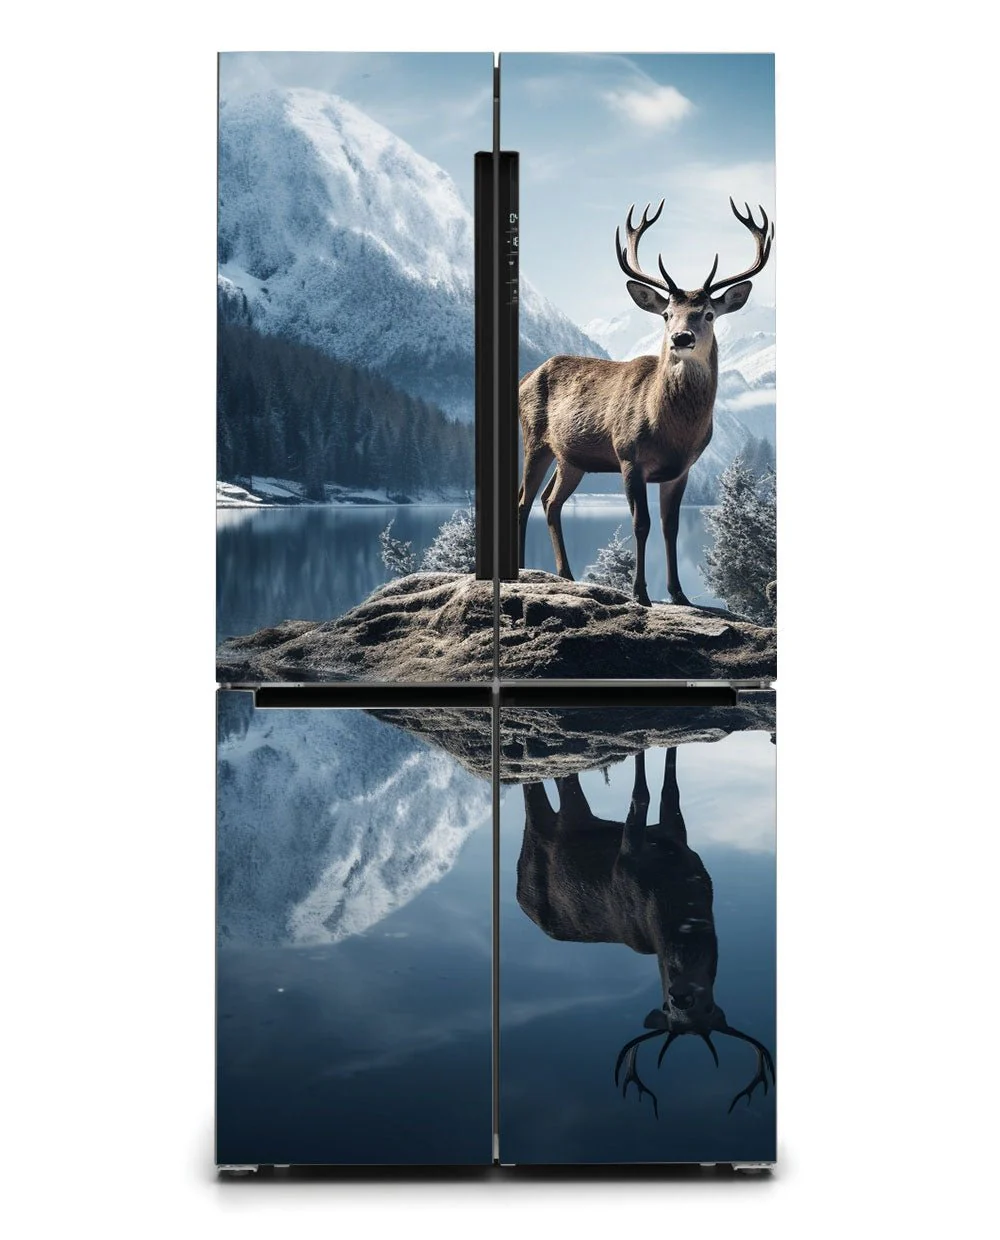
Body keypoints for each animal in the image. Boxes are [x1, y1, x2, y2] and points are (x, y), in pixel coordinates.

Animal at [516, 748, 774, 1118]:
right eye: (669, 1008)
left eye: (708, 1007)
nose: (681, 996)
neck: (673, 897)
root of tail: (519, 897)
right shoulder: (627, 855)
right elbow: (643, 795)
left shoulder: (677, 834)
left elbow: (671, 789)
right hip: (536, 845)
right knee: (534, 801)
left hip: (573, 819)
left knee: (569, 789)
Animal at [518, 198, 774, 607]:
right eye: (667, 314)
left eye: (708, 314)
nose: (681, 338)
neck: (671, 430)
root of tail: (525, 377)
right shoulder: (628, 456)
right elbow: (642, 524)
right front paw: (640, 593)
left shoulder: (682, 470)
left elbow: (671, 528)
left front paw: (679, 594)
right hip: (535, 438)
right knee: (524, 499)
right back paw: (525, 569)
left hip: (572, 457)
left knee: (550, 500)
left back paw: (566, 573)